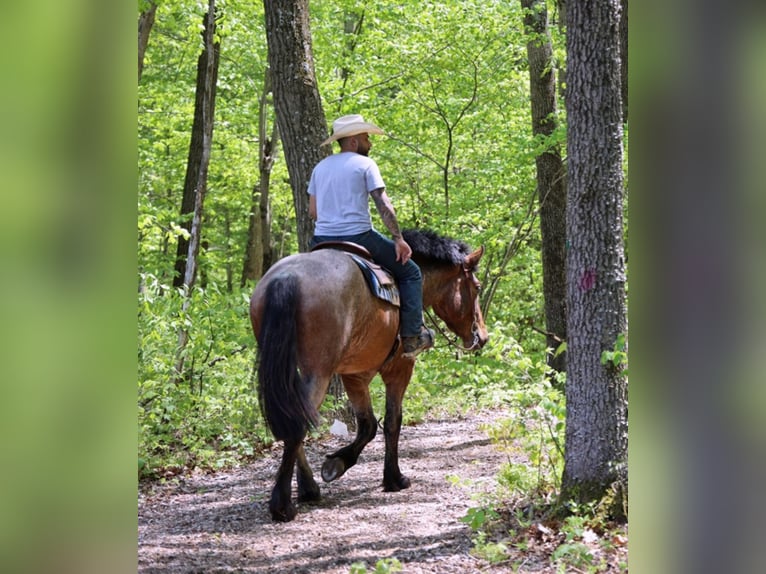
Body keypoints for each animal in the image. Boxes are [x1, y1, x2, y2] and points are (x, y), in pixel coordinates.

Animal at [252, 228, 492, 520]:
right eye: (477, 287)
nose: (482, 336)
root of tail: (287, 278)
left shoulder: (355, 375)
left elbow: (367, 425)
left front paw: (336, 464)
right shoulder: (399, 369)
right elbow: (391, 422)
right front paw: (393, 478)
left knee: (294, 418)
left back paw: (308, 489)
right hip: (318, 372)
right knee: (297, 424)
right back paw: (283, 504)